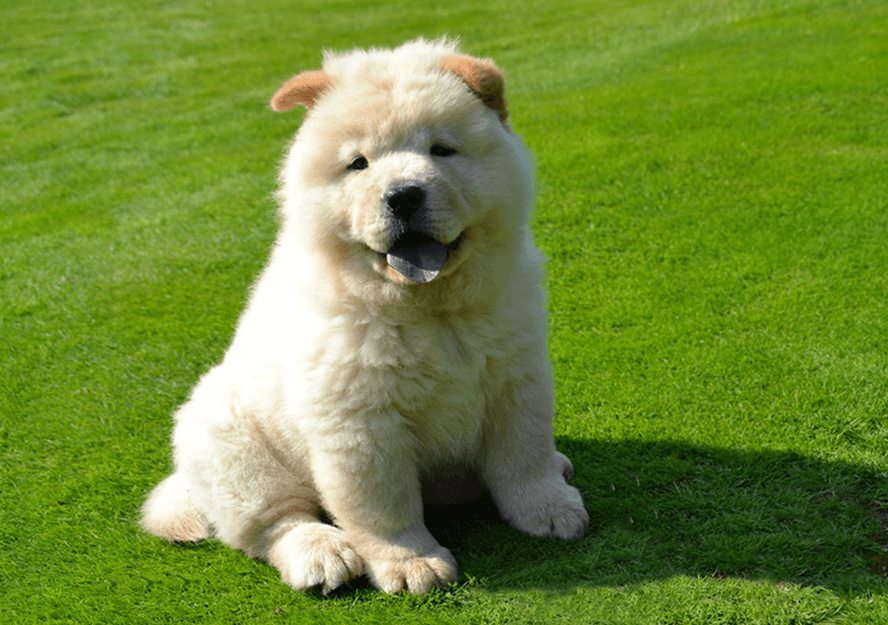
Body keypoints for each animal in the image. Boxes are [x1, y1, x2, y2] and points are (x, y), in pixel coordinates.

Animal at [144, 39, 588, 596]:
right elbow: (382, 503)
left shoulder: (515, 375)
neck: (430, 312)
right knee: (276, 523)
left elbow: (521, 457)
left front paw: (549, 510)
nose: (403, 195)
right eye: (358, 163)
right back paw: (324, 556)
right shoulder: (359, 420)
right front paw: (412, 563)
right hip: (233, 446)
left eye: (441, 150)